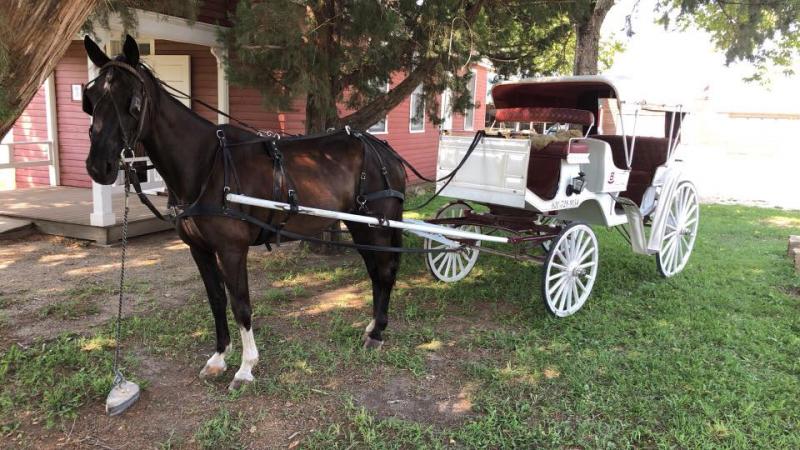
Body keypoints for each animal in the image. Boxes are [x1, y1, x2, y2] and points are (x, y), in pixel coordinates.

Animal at [84, 35, 406, 388]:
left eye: (133, 102)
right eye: (91, 99)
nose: (98, 166)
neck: (206, 165)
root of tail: (385, 151)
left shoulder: (231, 249)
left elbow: (241, 305)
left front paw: (245, 367)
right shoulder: (199, 249)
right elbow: (216, 300)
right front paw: (218, 358)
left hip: (377, 226)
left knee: (385, 271)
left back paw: (377, 332)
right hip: (360, 226)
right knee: (376, 271)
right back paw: (372, 326)